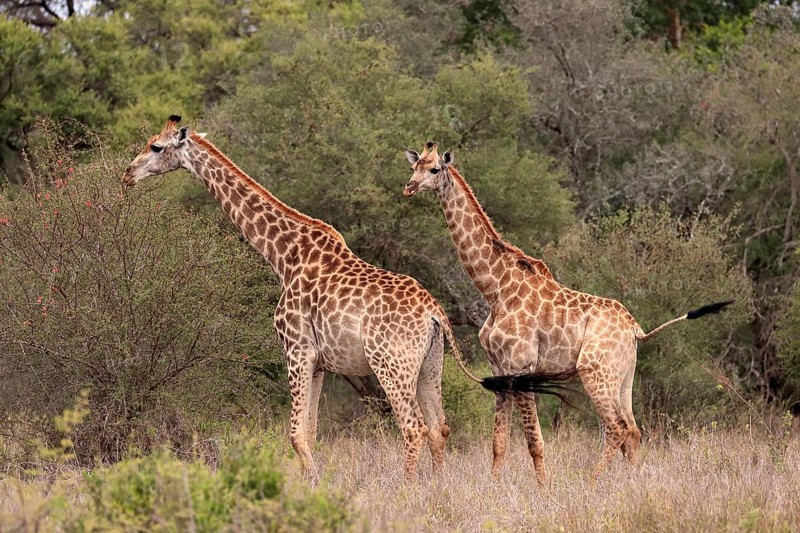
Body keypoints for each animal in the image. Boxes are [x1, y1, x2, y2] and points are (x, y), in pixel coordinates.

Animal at [121, 116, 485, 482]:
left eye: (156, 146)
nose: (128, 173)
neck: (283, 255)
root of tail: (435, 312)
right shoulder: (319, 362)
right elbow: (310, 432)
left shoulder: (296, 349)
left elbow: (295, 435)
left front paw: (314, 485)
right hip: (430, 363)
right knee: (439, 427)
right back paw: (437, 486)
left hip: (391, 365)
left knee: (413, 427)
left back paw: (407, 488)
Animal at [402, 141, 732, 484]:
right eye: (413, 166)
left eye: (434, 169)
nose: (408, 187)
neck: (495, 288)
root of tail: (635, 329)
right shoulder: (499, 370)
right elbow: (499, 443)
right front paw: (494, 485)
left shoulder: (521, 367)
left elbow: (534, 442)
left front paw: (544, 488)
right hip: (623, 376)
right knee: (633, 430)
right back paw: (632, 482)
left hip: (595, 371)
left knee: (617, 428)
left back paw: (592, 482)